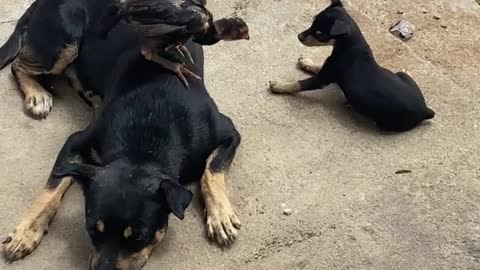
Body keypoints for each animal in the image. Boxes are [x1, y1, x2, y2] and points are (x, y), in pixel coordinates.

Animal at [0, 0, 246, 268]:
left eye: (138, 237)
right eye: (92, 229)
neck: (145, 144)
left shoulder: (228, 132)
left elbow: (212, 170)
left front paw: (220, 215)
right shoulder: (75, 142)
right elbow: (52, 188)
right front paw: (26, 231)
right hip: (65, 41)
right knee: (18, 64)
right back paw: (37, 94)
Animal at [270, 0, 436, 132]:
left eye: (319, 33)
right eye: (312, 23)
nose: (299, 37)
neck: (348, 44)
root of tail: (425, 110)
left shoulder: (323, 79)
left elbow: (299, 84)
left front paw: (280, 86)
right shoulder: (329, 68)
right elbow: (319, 65)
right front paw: (306, 62)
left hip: (385, 123)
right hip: (401, 74)